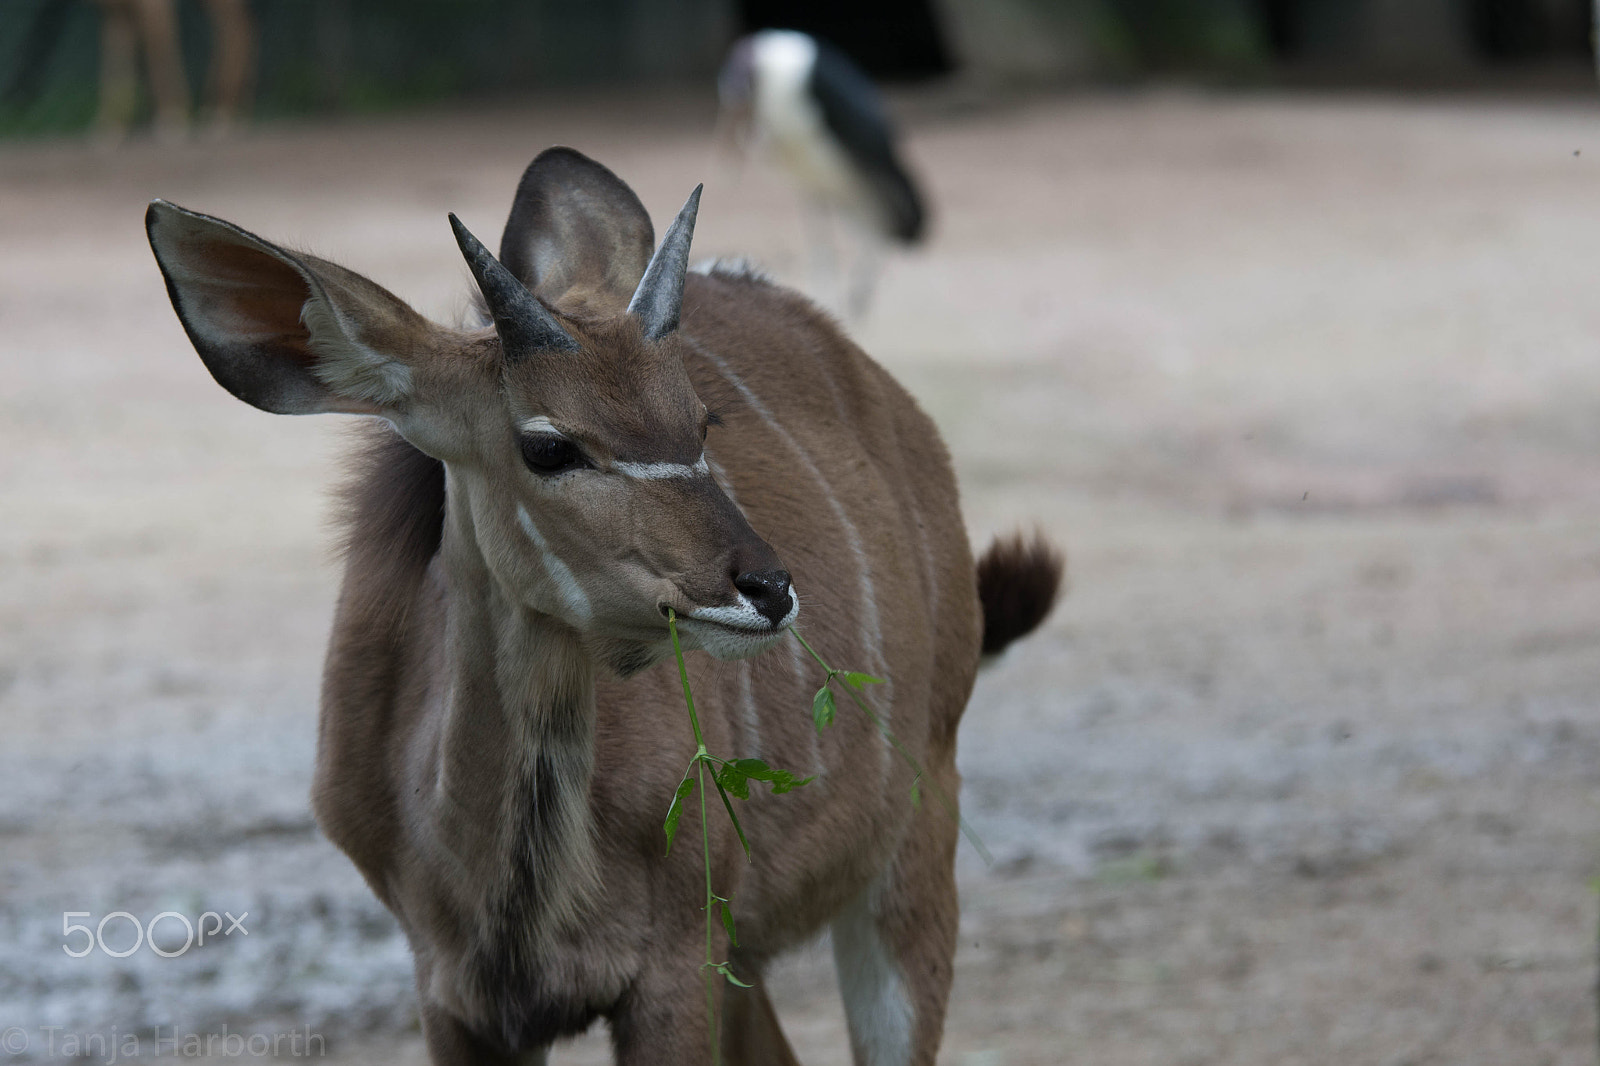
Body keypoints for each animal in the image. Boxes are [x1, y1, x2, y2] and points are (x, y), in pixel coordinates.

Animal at [140, 143, 1062, 1062]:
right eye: (549, 446)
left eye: (703, 421)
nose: (767, 588)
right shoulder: (453, 997)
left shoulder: (675, 966)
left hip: (914, 836)